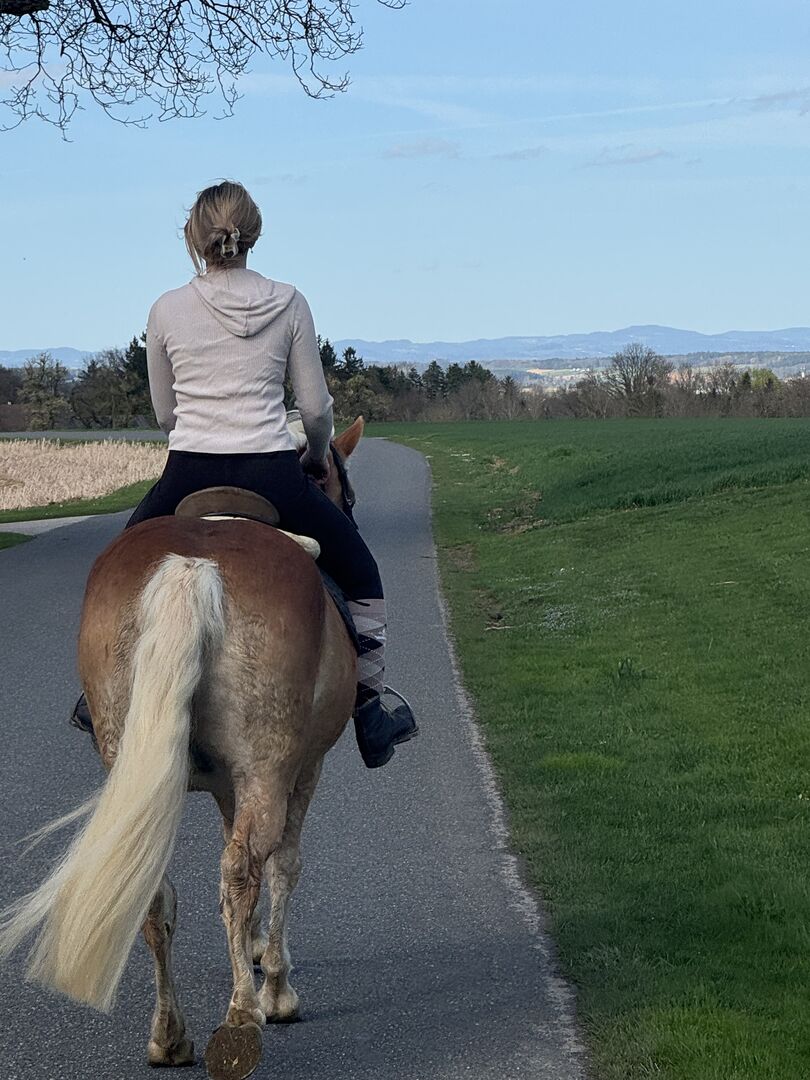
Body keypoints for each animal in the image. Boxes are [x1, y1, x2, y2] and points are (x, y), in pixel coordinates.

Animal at [0, 417, 366, 1080]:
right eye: (341, 493)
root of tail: (192, 568)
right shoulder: (303, 768)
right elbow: (284, 865)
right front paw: (277, 986)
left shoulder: (227, 782)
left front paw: (251, 951)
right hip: (270, 765)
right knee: (244, 868)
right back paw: (244, 1017)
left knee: (156, 881)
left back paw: (170, 1036)